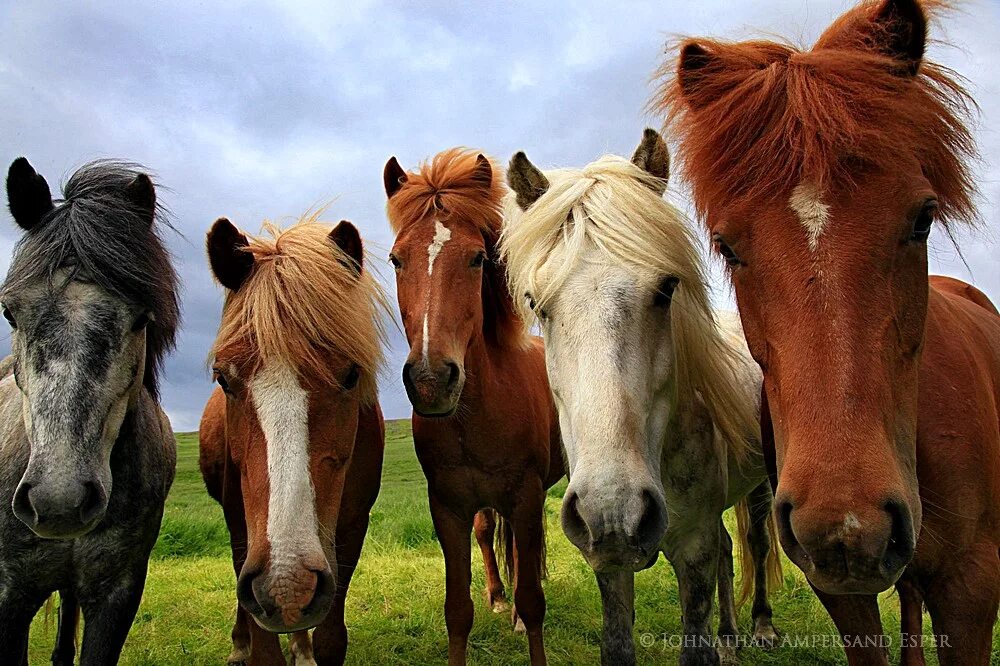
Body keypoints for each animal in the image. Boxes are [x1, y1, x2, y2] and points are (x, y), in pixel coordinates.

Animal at [198, 215, 386, 660]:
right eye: (223, 378)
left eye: (351, 375)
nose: (288, 586)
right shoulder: (244, 536)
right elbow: (263, 647)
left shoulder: (351, 530)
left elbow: (331, 637)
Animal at [382, 150, 564, 664]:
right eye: (396, 259)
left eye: (478, 258)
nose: (430, 381)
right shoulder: (447, 507)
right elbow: (457, 611)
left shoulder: (525, 495)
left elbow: (535, 601)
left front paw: (526, 621)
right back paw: (500, 598)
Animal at [504, 127, 776, 660]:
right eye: (536, 304)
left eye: (667, 288)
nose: (616, 511)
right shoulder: (608, 560)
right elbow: (617, 643)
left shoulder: (694, 547)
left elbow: (697, 642)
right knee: (730, 551)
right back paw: (731, 637)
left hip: (759, 488)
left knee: (754, 542)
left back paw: (760, 627)